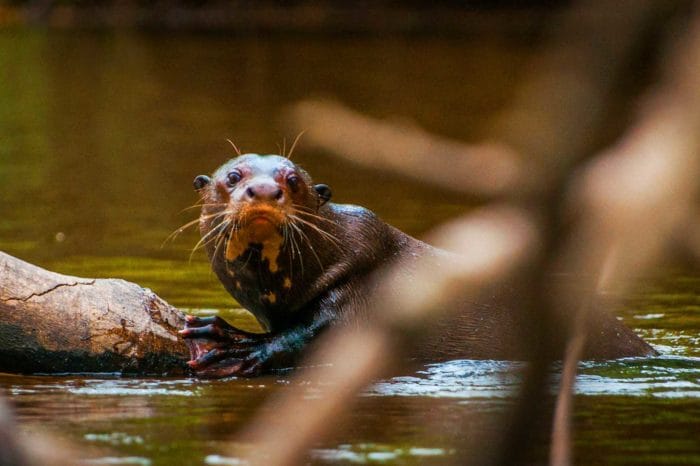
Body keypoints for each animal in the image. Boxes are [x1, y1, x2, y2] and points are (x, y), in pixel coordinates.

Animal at [180, 154, 656, 378]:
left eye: (292, 180)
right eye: (234, 176)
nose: (263, 190)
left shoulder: (363, 284)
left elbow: (311, 333)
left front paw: (237, 345)